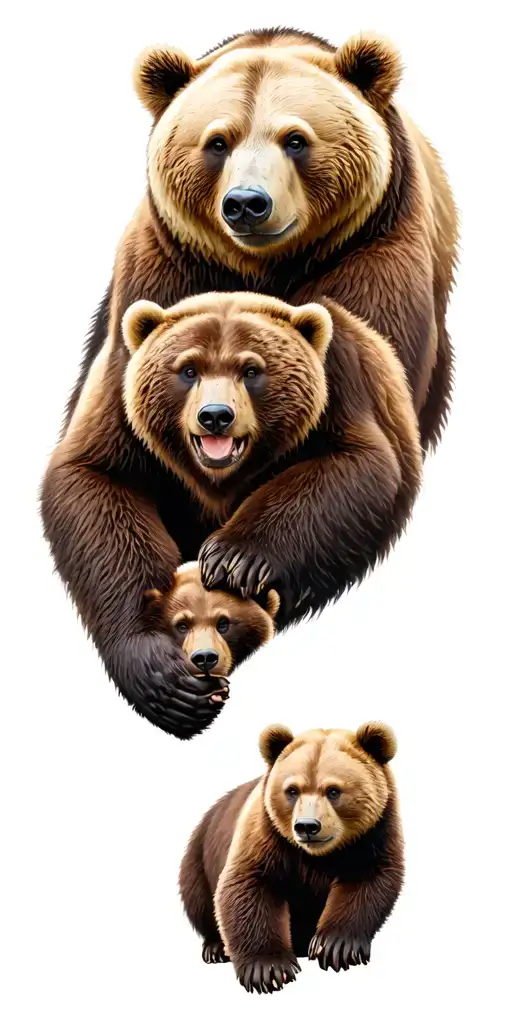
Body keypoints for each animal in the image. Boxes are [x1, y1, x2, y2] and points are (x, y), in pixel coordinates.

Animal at [179, 721, 404, 993]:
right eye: (292, 790)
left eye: (333, 791)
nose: (307, 826)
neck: (318, 856)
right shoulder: (268, 833)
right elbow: (248, 885)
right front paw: (268, 968)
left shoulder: (374, 833)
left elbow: (366, 880)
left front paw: (335, 947)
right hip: (199, 854)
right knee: (198, 898)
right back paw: (216, 947)